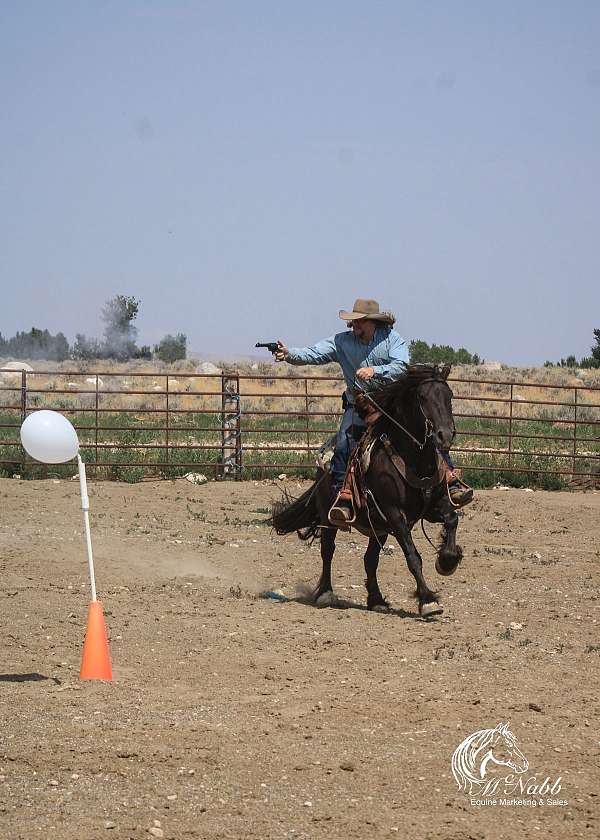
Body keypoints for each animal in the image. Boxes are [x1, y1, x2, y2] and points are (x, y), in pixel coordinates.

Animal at [272, 364, 464, 620]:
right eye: (422, 398)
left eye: (449, 396)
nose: (445, 435)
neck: (414, 461)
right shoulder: (395, 514)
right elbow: (413, 557)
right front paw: (428, 601)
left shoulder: (434, 506)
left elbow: (452, 519)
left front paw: (447, 561)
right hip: (328, 517)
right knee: (327, 551)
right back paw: (325, 593)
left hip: (378, 528)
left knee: (369, 559)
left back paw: (376, 600)